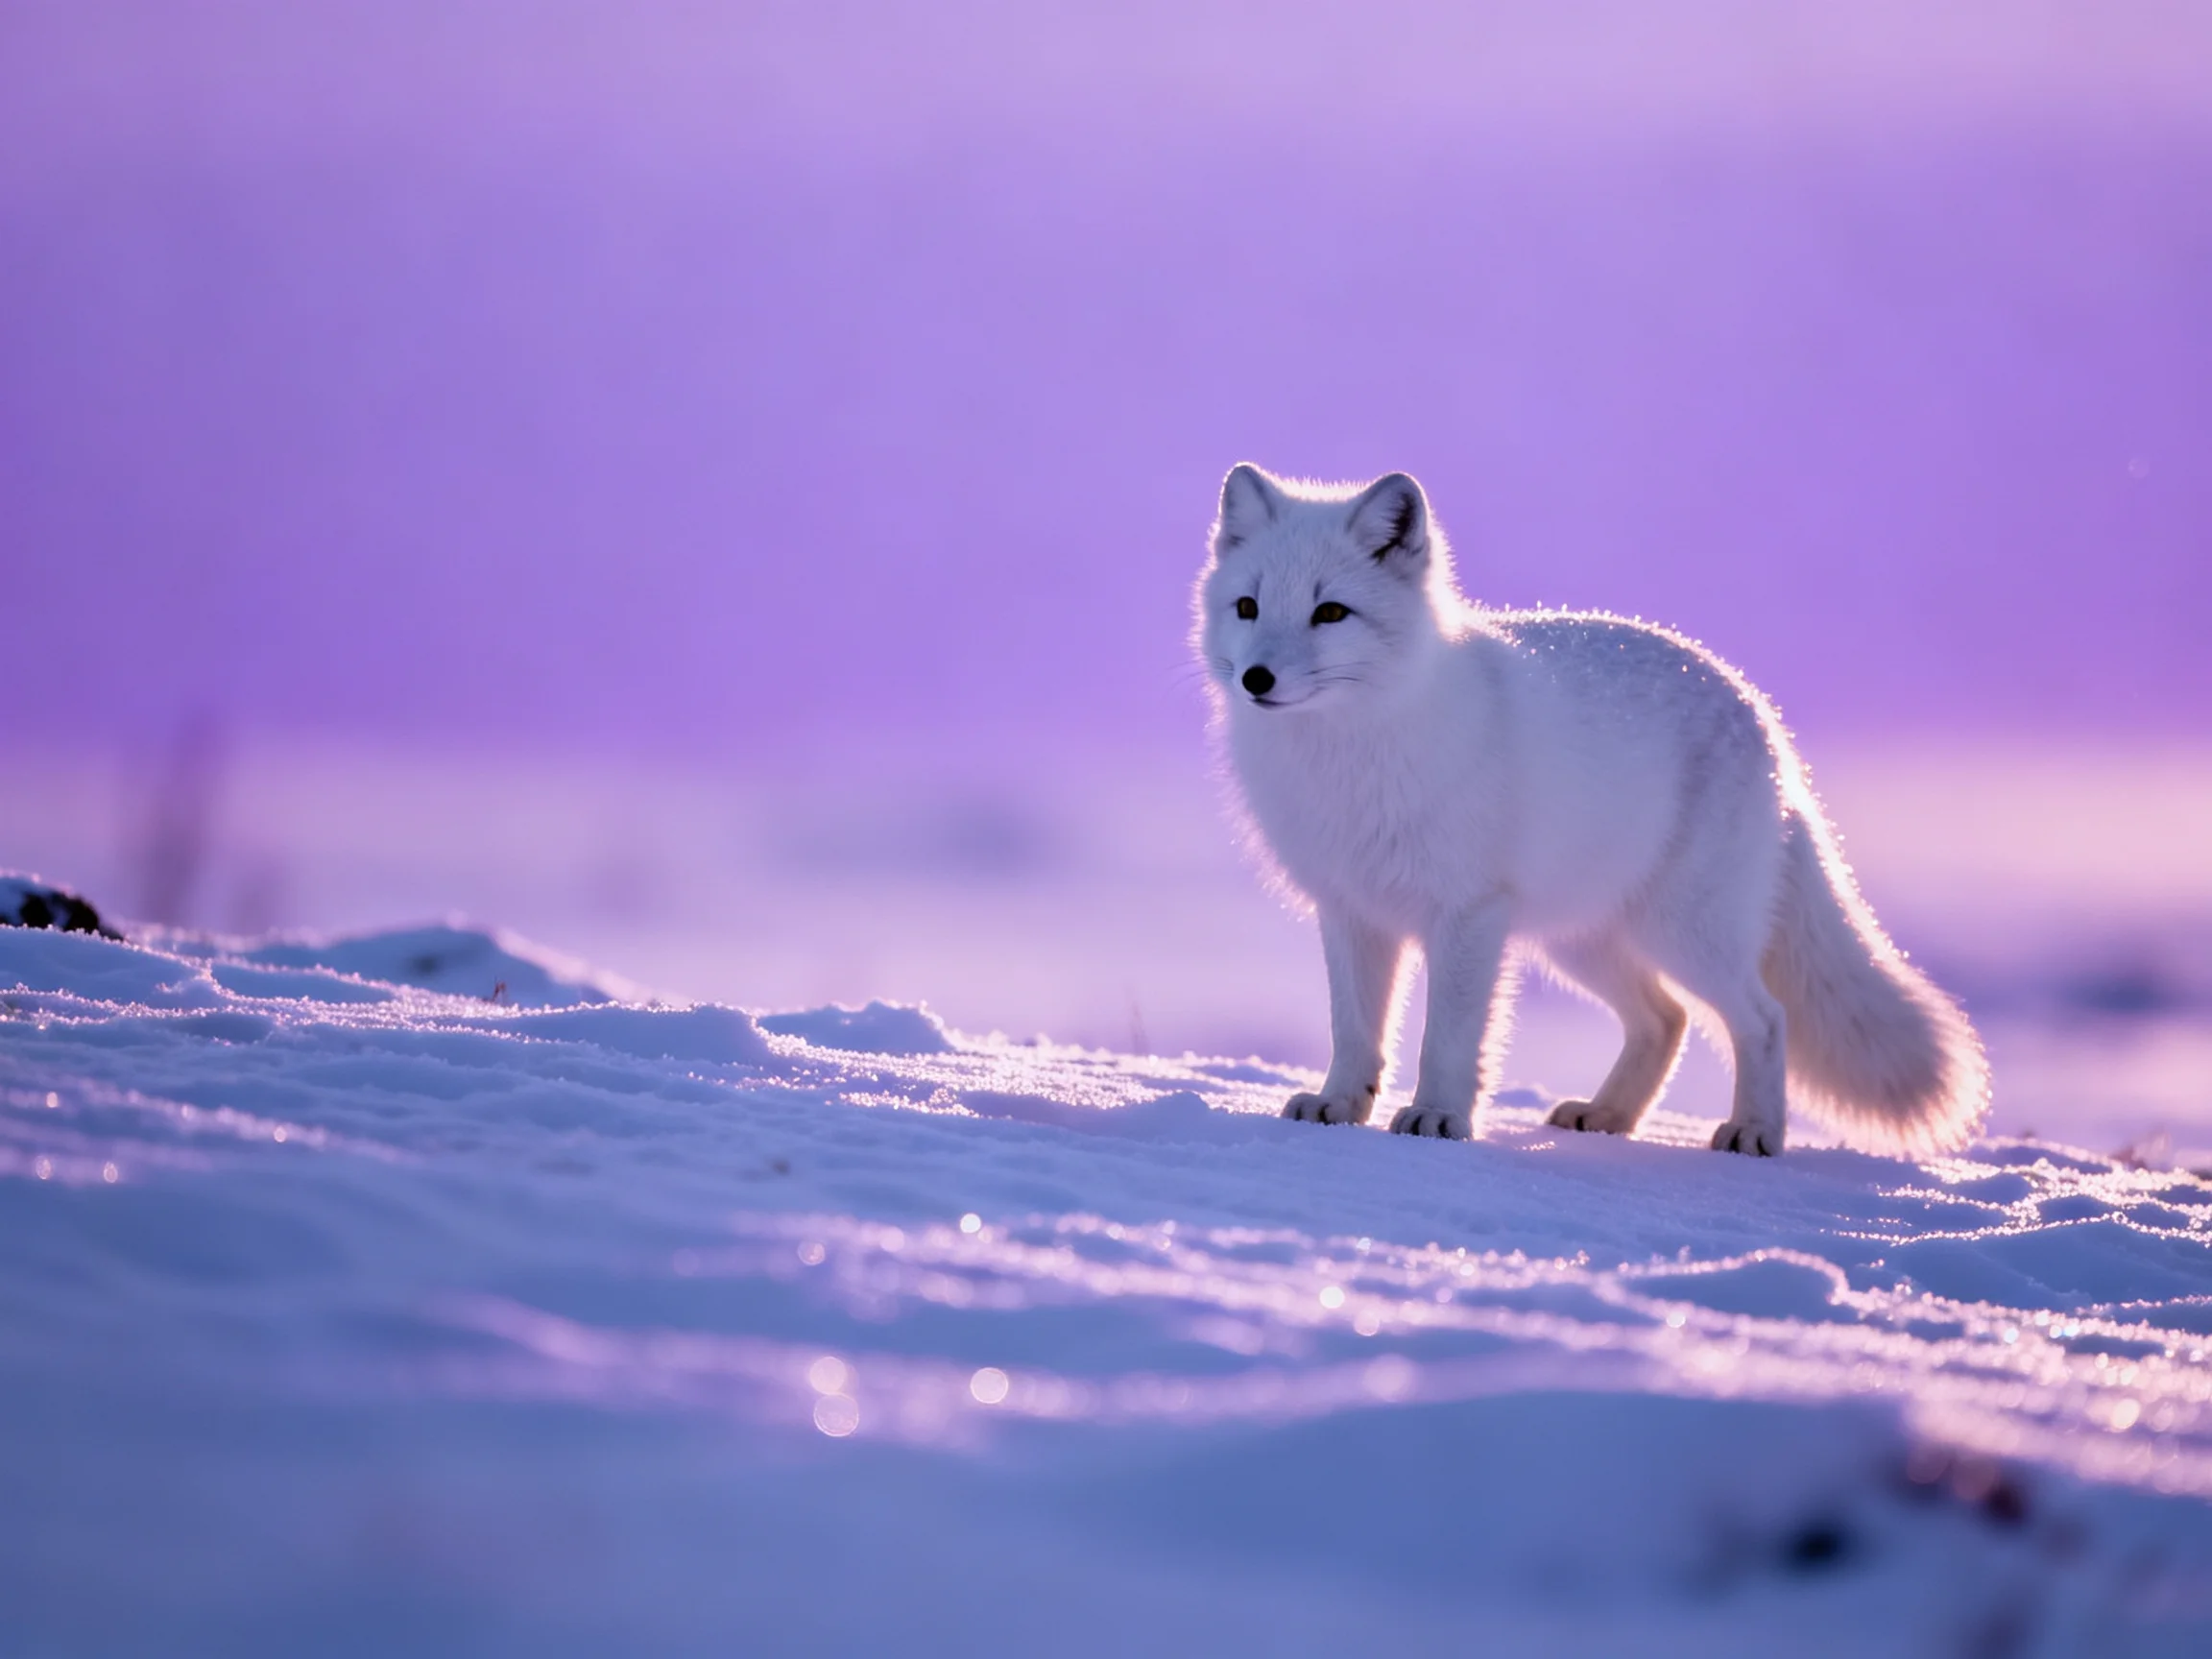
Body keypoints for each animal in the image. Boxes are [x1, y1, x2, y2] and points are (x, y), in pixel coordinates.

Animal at [1194, 464, 1989, 1158]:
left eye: (1330, 612)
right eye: (1248, 606)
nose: (1255, 678)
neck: (1351, 751)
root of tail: (1766, 724)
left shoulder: (1469, 913)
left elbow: (1447, 1037)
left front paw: (1438, 1117)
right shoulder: (1352, 910)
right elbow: (1355, 1030)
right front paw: (1337, 1106)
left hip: (1684, 932)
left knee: (1764, 1018)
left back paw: (1754, 1134)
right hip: (1584, 940)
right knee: (1665, 1019)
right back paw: (1608, 1116)